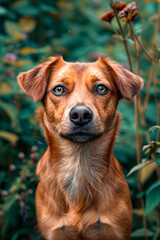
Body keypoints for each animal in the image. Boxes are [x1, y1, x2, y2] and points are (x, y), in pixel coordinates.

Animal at [18, 56, 143, 240]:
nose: (81, 115)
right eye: (59, 89)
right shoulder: (54, 231)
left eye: (101, 88)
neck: (79, 166)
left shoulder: (116, 229)